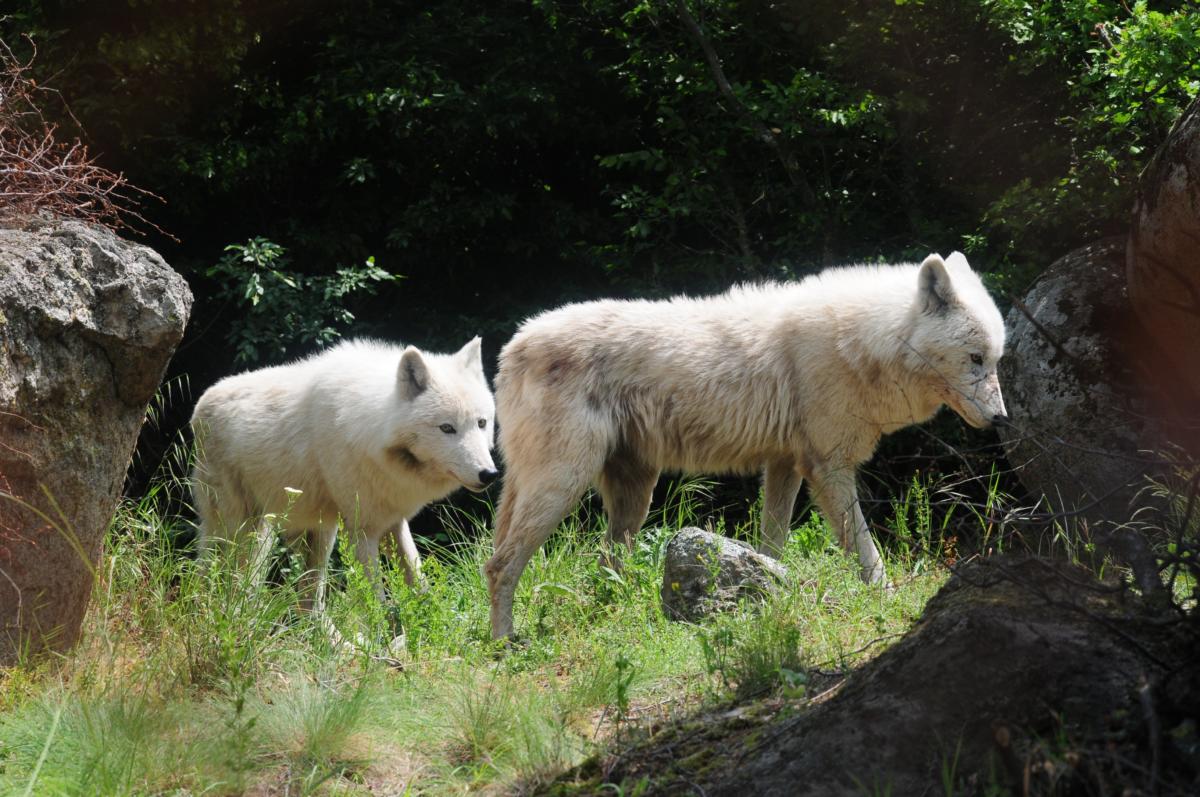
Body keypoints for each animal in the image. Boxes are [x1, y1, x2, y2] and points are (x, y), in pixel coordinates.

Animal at [190, 336, 496, 609]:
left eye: (481, 423)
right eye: (447, 428)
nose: (489, 474)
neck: (370, 427)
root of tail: (200, 403)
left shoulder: (392, 521)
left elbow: (419, 584)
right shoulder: (361, 530)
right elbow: (376, 604)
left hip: (315, 533)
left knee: (307, 604)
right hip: (245, 532)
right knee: (225, 582)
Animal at [482, 252, 1008, 638]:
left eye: (996, 359)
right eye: (975, 359)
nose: (1002, 418)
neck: (864, 341)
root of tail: (511, 347)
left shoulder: (786, 466)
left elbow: (772, 543)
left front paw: (769, 588)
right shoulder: (830, 467)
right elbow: (865, 549)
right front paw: (887, 599)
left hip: (632, 496)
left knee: (603, 564)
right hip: (564, 485)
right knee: (500, 564)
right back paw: (505, 643)